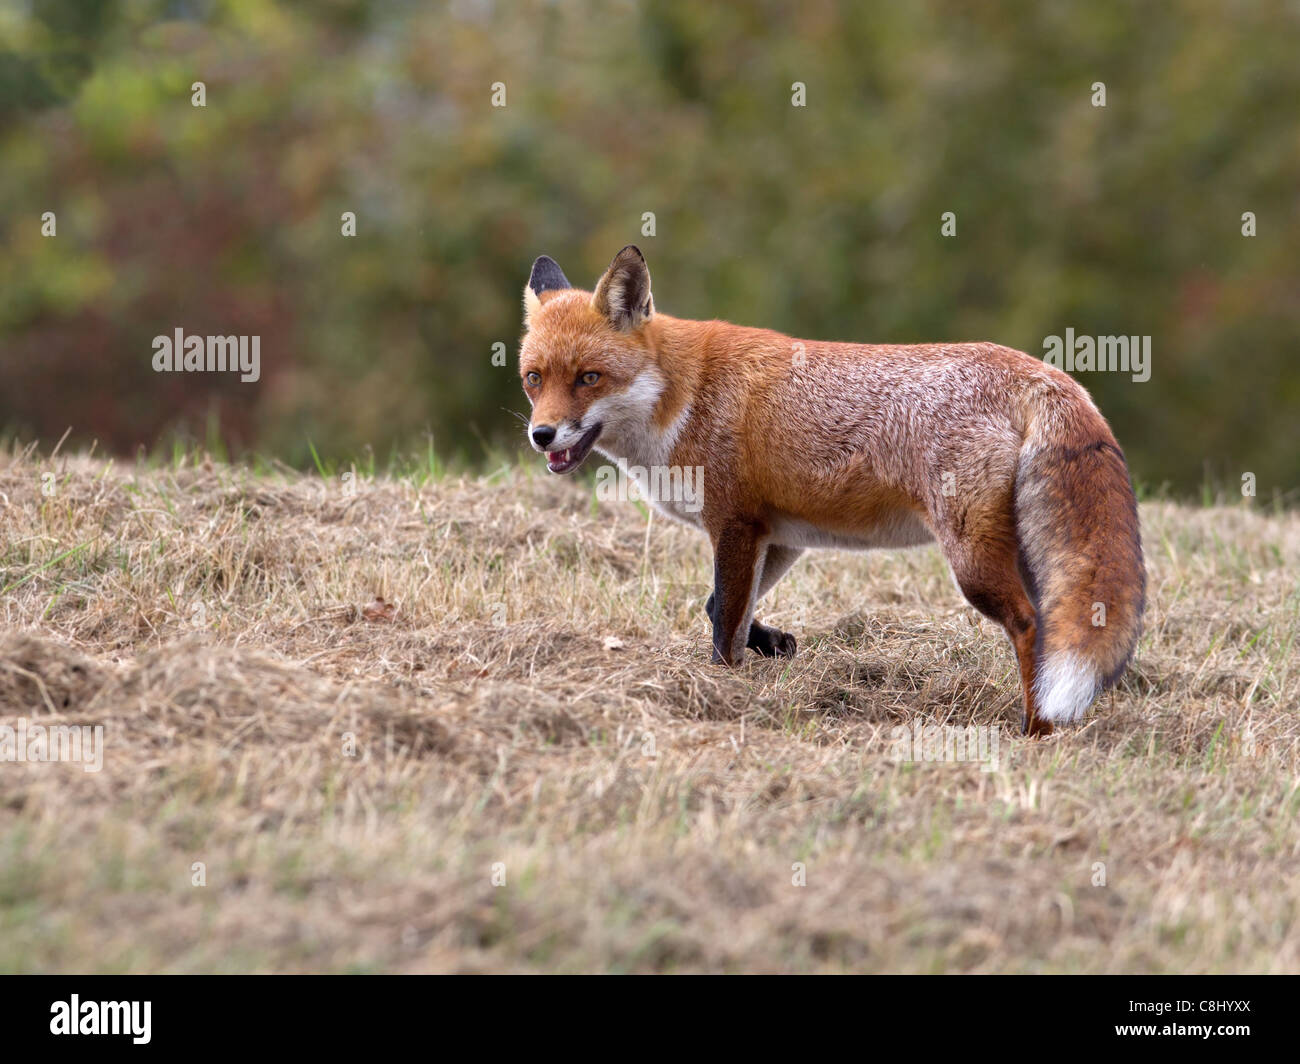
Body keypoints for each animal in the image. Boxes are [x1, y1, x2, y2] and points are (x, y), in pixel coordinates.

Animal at [517, 245, 1145, 736]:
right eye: (533, 379)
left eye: (589, 378)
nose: (541, 435)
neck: (684, 396)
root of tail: (1042, 373)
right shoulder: (779, 535)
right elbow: (719, 606)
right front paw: (773, 646)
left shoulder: (734, 523)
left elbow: (722, 625)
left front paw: (722, 692)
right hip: (1027, 555)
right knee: (1053, 627)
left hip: (973, 562)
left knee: (1027, 623)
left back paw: (1034, 729)